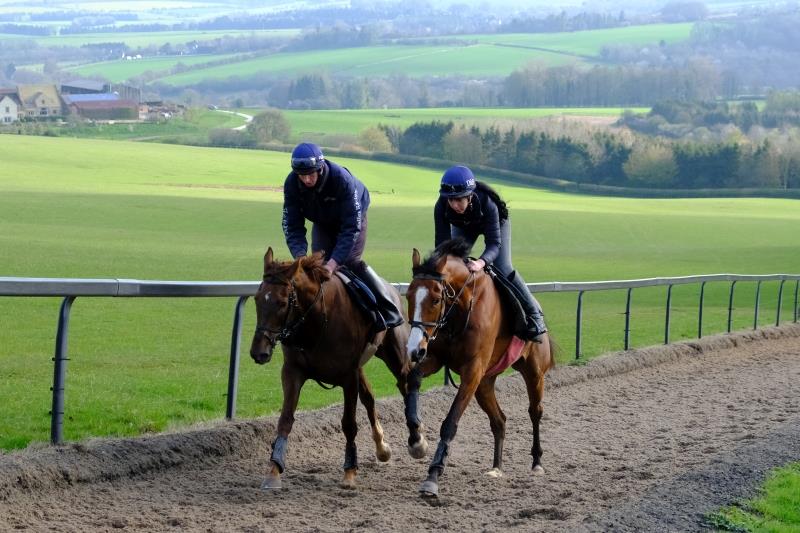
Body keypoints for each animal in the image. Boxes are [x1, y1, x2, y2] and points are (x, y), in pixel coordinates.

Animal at [250, 248, 412, 490]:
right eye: (257, 299)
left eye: (282, 302)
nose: (258, 352)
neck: (316, 323)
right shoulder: (292, 372)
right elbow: (285, 419)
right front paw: (274, 469)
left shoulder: (348, 376)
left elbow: (349, 424)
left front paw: (350, 471)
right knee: (369, 398)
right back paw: (382, 448)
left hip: (395, 356)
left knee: (405, 385)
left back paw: (418, 441)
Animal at [403, 238, 555, 497]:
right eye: (409, 297)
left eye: (435, 299)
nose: (414, 349)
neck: (461, 309)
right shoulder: (436, 358)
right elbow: (413, 379)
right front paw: (416, 441)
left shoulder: (472, 371)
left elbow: (450, 423)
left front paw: (433, 476)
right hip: (485, 384)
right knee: (499, 420)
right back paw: (496, 468)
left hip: (534, 373)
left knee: (535, 411)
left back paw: (537, 462)